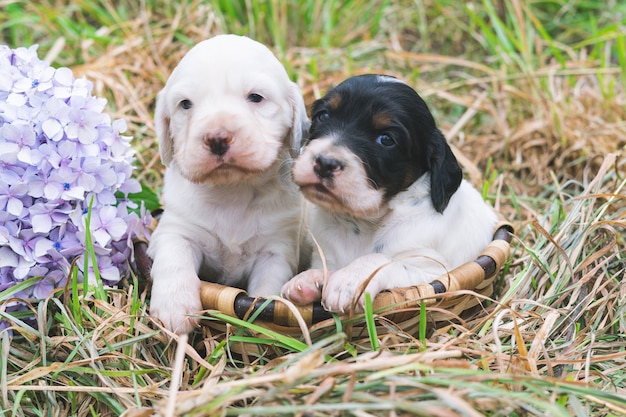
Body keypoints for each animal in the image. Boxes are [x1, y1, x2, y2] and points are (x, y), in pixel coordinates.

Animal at [149, 34, 310, 334]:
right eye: (185, 104)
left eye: (256, 97)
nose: (217, 137)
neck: (232, 191)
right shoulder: (175, 230)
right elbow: (174, 259)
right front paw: (175, 306)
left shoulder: (276, 251)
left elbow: (267, 287)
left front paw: (263, 325)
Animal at [280, 75, 498, 312]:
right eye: (323, 116)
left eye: (386, 140)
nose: (325, 163)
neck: (362, 223)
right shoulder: (325, 255)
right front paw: (309, 279)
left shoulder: (438, 273)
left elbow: (382, 260)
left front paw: (349, 280)